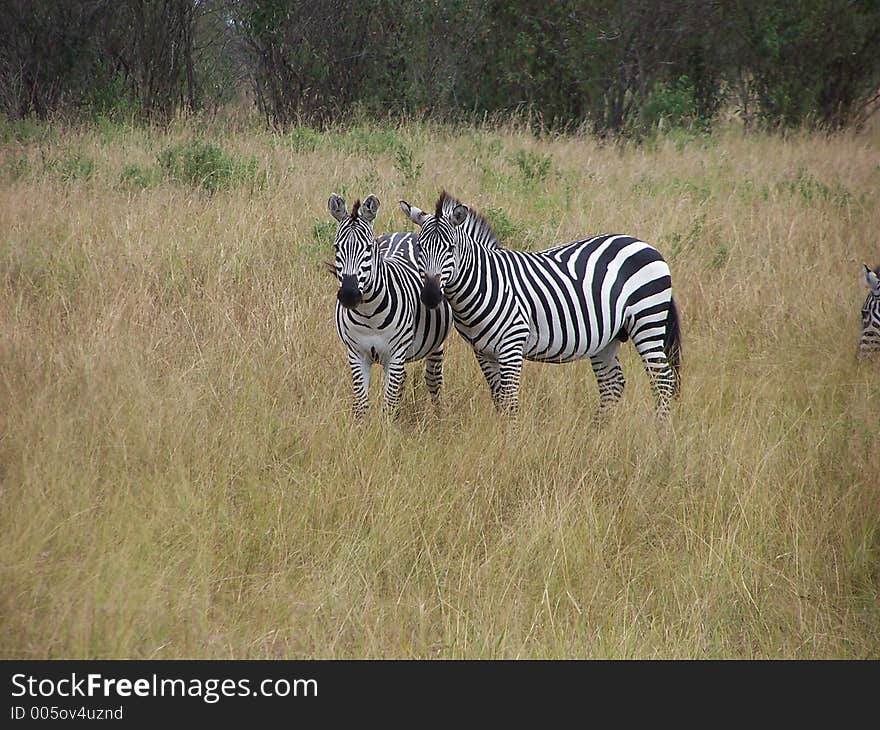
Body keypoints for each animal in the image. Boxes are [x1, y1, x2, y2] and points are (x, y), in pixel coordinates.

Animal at [330, 191, 454, 418]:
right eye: (337, 247)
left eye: (369, 248)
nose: (349, 295)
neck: (369, 313)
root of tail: (402, 233)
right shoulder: (356, 355)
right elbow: (361, 405)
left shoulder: (395, 356)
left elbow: (388, 404)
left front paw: (387, 427)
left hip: (434, 346)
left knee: (433, 380)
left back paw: (438, 416)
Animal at [398, 191, 680, 418]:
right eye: (420, 247)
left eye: (451, 248)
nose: (430, 296)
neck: (485, 282)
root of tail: (643, 244)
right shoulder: (482, 351)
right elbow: (498, 399)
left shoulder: (511, 345)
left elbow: (510, 401)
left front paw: (510, 443)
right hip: (608, 337)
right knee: (612, 383)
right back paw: (598, 434)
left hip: (647, 321)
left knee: (663, 380)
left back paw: (660, 434)